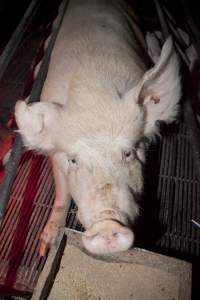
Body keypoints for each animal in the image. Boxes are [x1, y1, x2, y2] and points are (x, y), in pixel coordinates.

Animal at [14, 0, 181, 255]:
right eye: (74, 160)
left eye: (128, 153)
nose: (107, 224)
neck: (94, 94)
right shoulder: (56, 157)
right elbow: (62, 193)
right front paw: (45, 248)